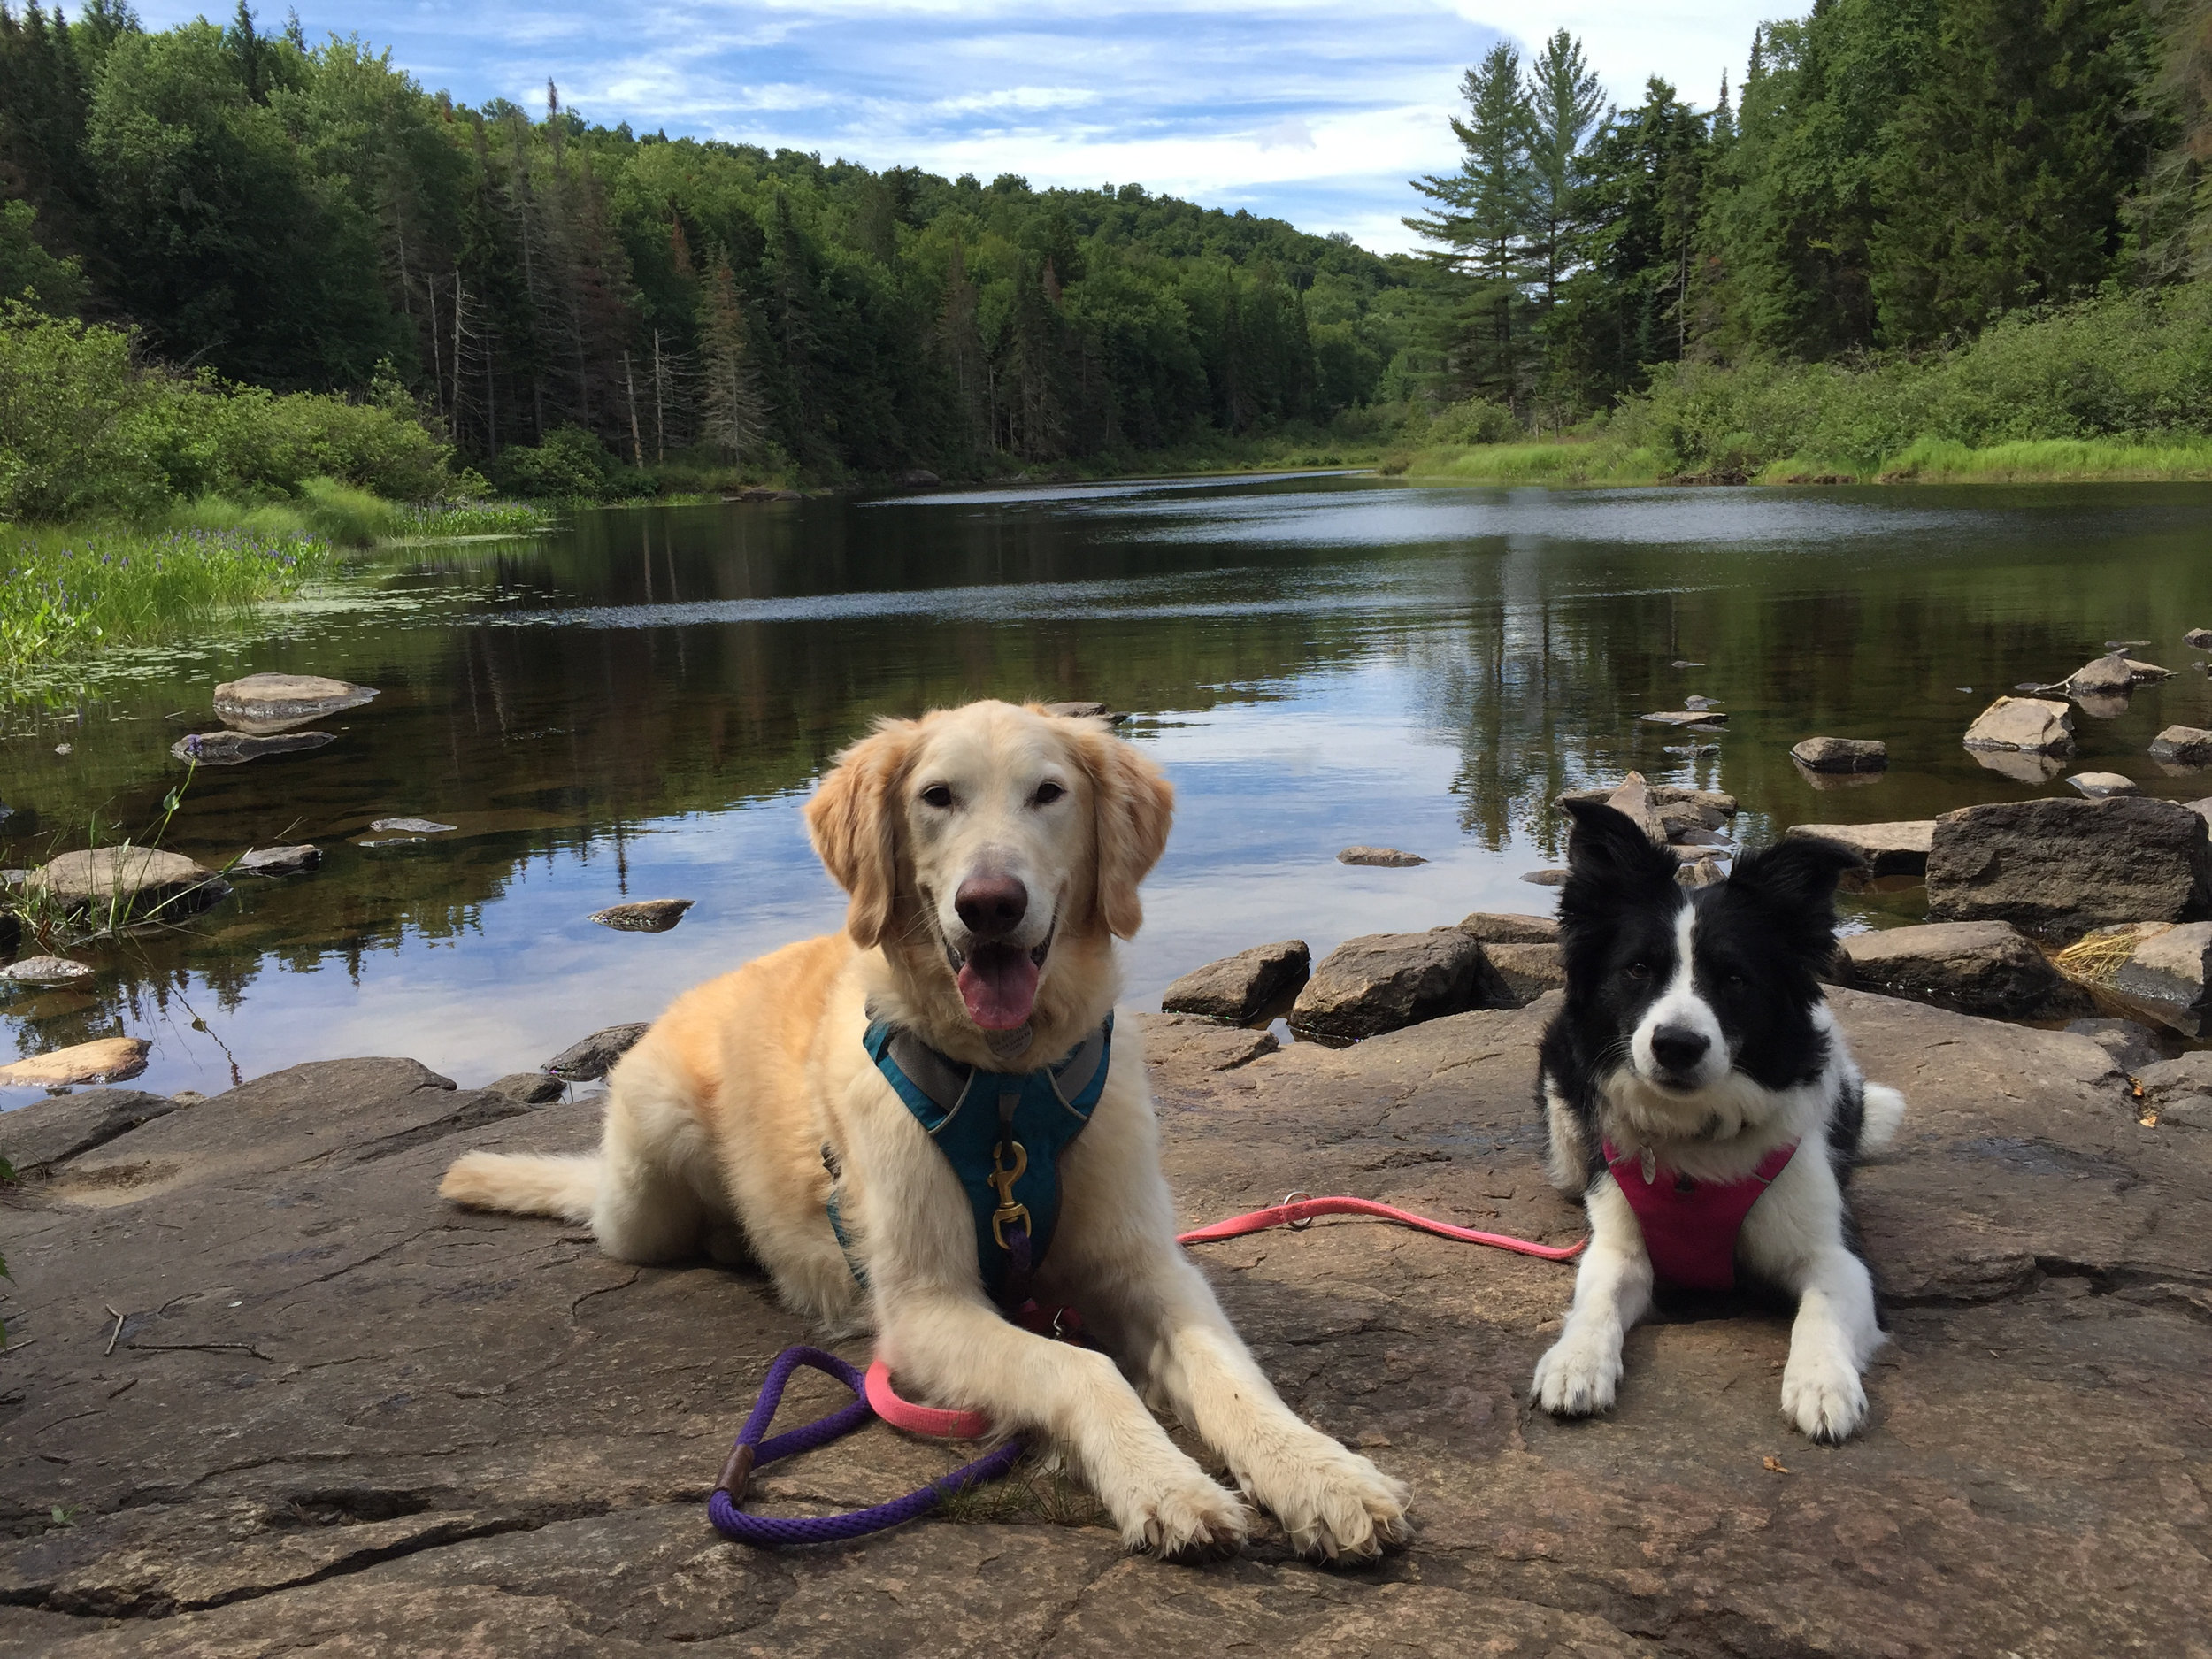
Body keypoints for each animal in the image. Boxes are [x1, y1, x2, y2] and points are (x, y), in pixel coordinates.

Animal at [440, 708, 1407, 1566]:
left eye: (1049, 792)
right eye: (937, 796)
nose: (990, 905)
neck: (1008, 1083)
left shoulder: (1144, 1265)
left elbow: (1232, 1373)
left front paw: (1319, 1474)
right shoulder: (926, 1308)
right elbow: (1084, 1368)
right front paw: (1162, 1482)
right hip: (653, 1180)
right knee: (606, 1204)